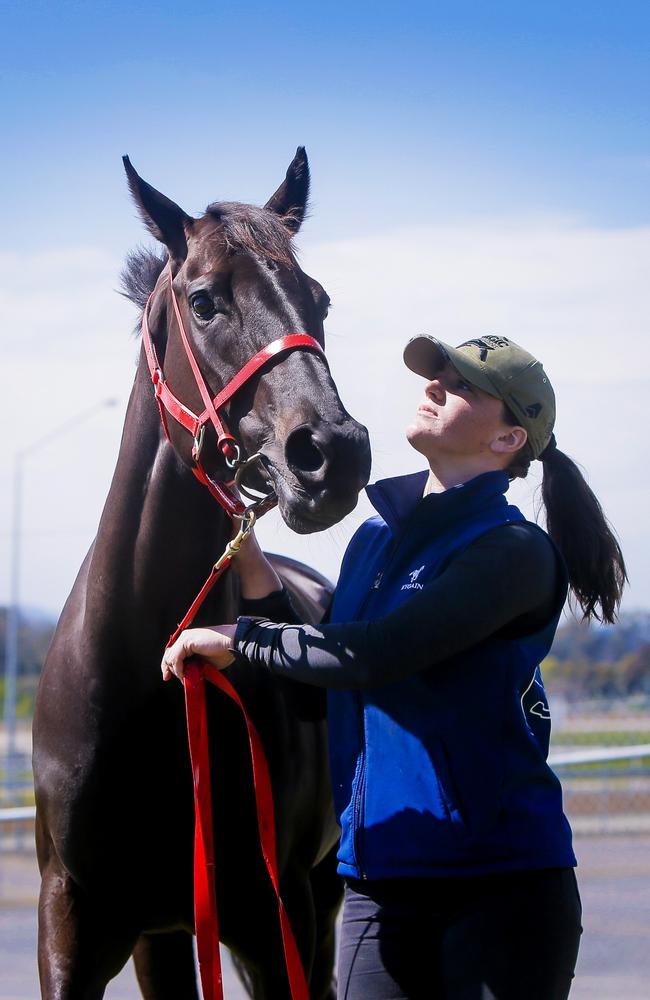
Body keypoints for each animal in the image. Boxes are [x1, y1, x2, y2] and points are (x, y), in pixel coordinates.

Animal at [33, 150, 370, 1000]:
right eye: (205, 299)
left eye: (318, 298)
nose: (333, 452)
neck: (144, 674)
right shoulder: (72, 925)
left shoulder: (271, 921)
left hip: (314, 902)